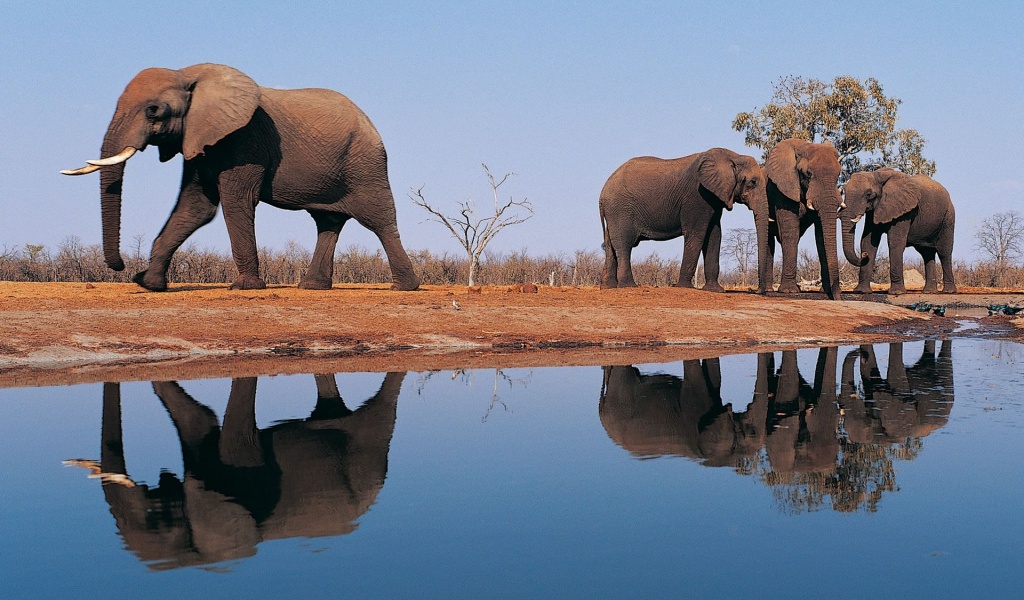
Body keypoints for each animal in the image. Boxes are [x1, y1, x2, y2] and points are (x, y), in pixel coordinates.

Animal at [60, 62, 419, 292]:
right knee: (327, 221)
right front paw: (149, 284)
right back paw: (312, 288)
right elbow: (195, 208)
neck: (189, 75)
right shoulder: (201, 140)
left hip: (366, 164)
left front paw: (245, 287)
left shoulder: (244, 139)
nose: (121, 266)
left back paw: (404, 288)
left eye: (153, 111)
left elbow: (236, 202)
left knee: (379, 219)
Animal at [598, 147, 770, 292]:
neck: (733, 156)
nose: (753, 290)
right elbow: (697, 234)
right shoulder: (697, 196)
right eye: (753, 182)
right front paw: (684, 287)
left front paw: (715, 290)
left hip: (614, 212)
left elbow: (714, 235)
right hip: (620, 209)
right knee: (624, 244)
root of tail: (603, 193)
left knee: (610, 244)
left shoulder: (714, 198)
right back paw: (629, 286)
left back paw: (609, 287)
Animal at [765, 139, 843, 298]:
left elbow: (820, 237)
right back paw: (769, 289)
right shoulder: (783, 190)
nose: (838, 298)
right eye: (808, 174)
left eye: (839, 174)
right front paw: (789, 291)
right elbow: (791, 233)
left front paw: (825, 291)